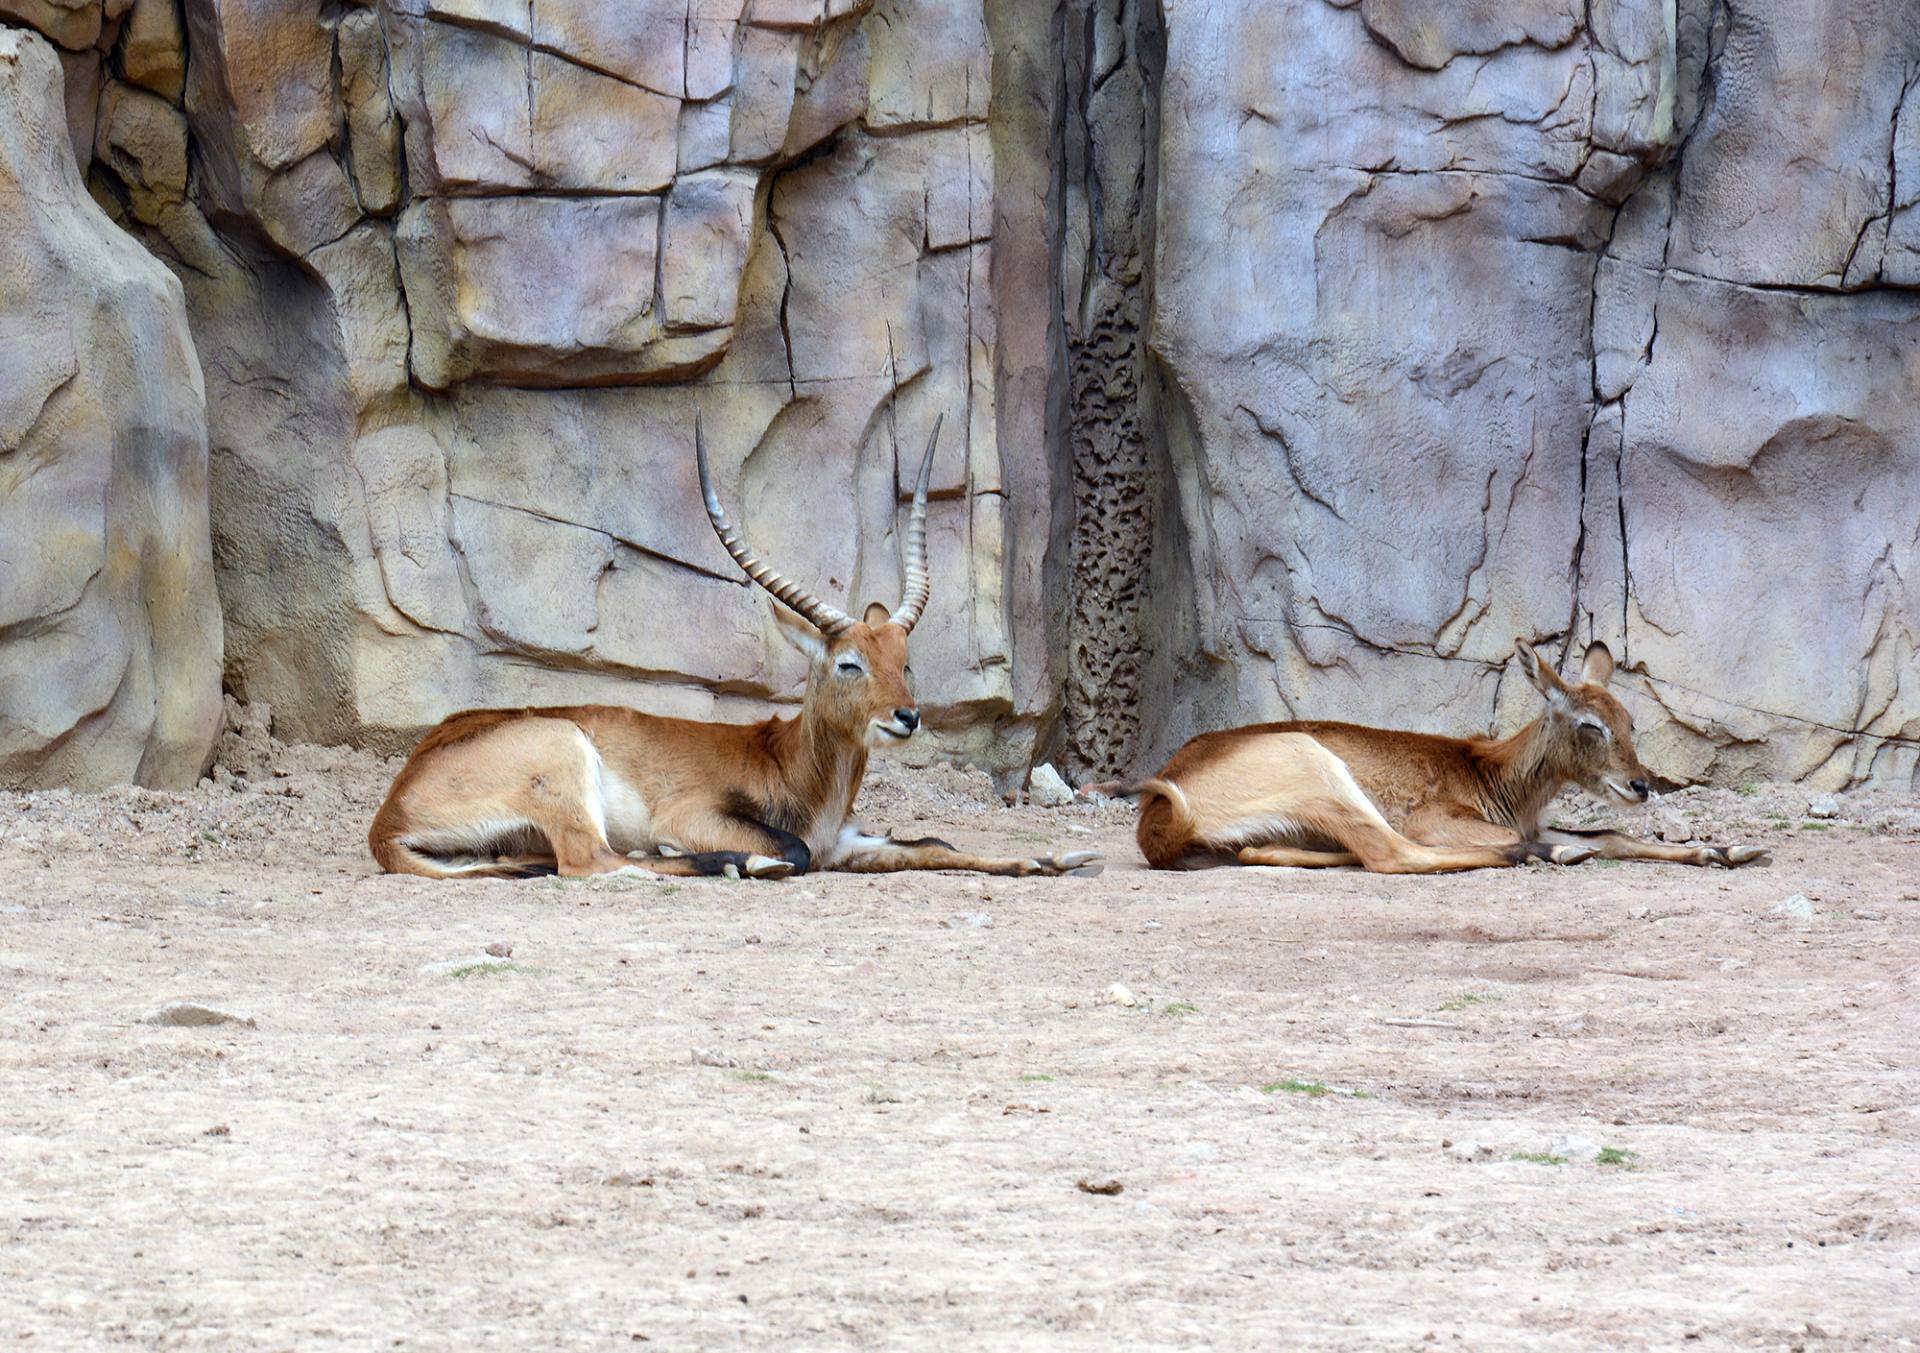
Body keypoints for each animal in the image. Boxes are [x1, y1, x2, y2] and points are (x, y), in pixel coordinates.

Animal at [372, 420, 1098, 886]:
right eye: (849, 661)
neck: (793, 766)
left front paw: (1056, 860)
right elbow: (798, 848)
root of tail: (391, 812)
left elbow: (933, 841)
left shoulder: (851, 839)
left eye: (905, 660)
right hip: (566, 761)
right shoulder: (703, 814)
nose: (907, 717)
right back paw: (738, 864)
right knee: (589, 862)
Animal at [1113, 640, 1766, 875]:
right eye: (1590, 724)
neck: (1494, 775)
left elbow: (1613, 834)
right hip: (1319, 769)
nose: (1640, 786)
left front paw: (1728, 849)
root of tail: (1163, 815)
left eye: (1631, 722)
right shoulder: (1440, 818)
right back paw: (1552, 856)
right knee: (1390, 854)